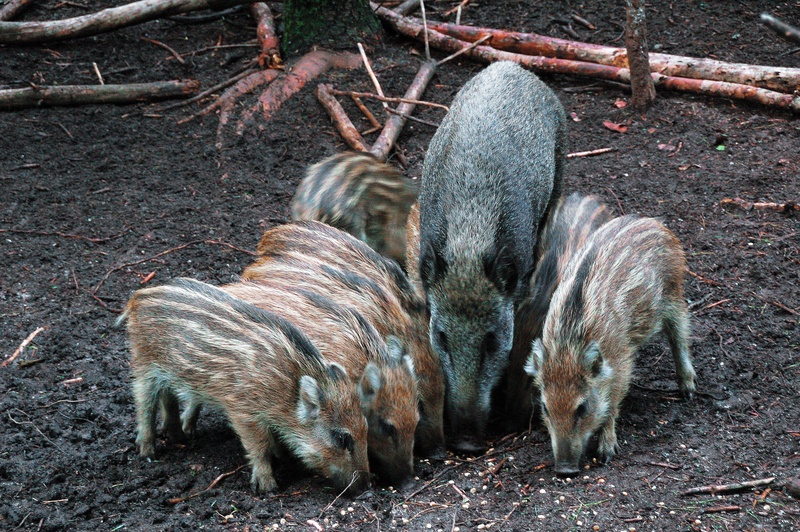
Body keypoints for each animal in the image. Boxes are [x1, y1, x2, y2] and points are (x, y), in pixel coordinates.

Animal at [117, 277, 371, 494]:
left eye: (366, 428)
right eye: (342, 438)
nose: (366, 488)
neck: (286, 387)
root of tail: (136, 298)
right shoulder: (243, 411)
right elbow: (259, 445)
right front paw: (267, 487)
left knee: (167, 398)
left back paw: (180, 437)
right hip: (144, 362)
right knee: (143, 403)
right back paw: (148, 452)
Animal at [524, 216, 697, 476]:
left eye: (582, 407)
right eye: (545, 408)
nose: (565, 469)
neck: (567, 346)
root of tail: (655, 223)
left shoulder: (621, 361)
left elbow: (612, 403)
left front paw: (606, 452)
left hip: (674, 292)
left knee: (680, 337)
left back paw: (688, 390)